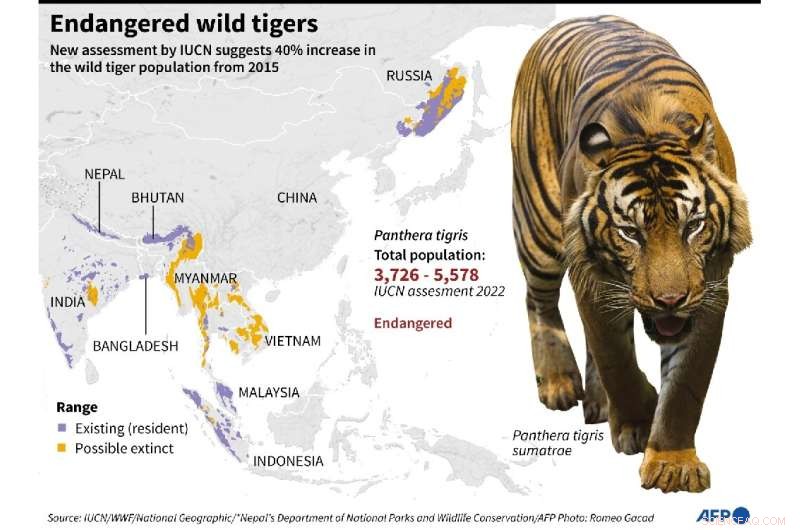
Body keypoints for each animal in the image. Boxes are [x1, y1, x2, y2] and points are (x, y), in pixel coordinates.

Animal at [511, 15, 751, 493]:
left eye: (693, 226)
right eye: (630, 232)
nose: (670, 301)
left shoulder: (711, 286)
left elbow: (687, 383)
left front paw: (673, 463)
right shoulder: (591, 280)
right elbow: (614, 356)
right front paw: (638, 421)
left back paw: (597, 401)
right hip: (539, 225)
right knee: (539, 300)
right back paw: (559, 383)